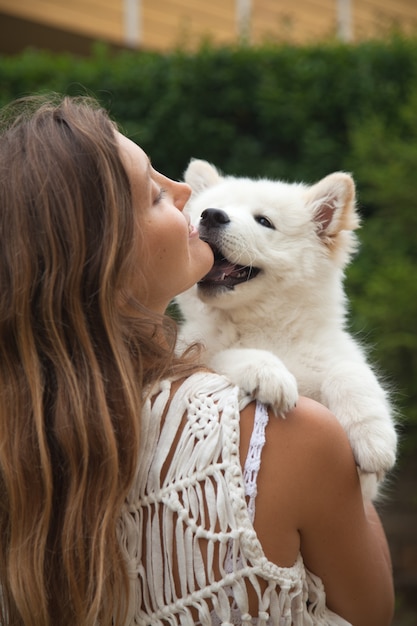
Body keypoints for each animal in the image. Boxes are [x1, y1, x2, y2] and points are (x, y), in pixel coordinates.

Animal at [176, 160, 396, 498]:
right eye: (204, 211)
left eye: (264, 221)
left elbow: (349, 371)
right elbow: (230, 354)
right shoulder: (195, 351)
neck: (265, 324)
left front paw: (374, 438)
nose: (211, 215)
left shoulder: (364, 487)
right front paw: (271, 376)